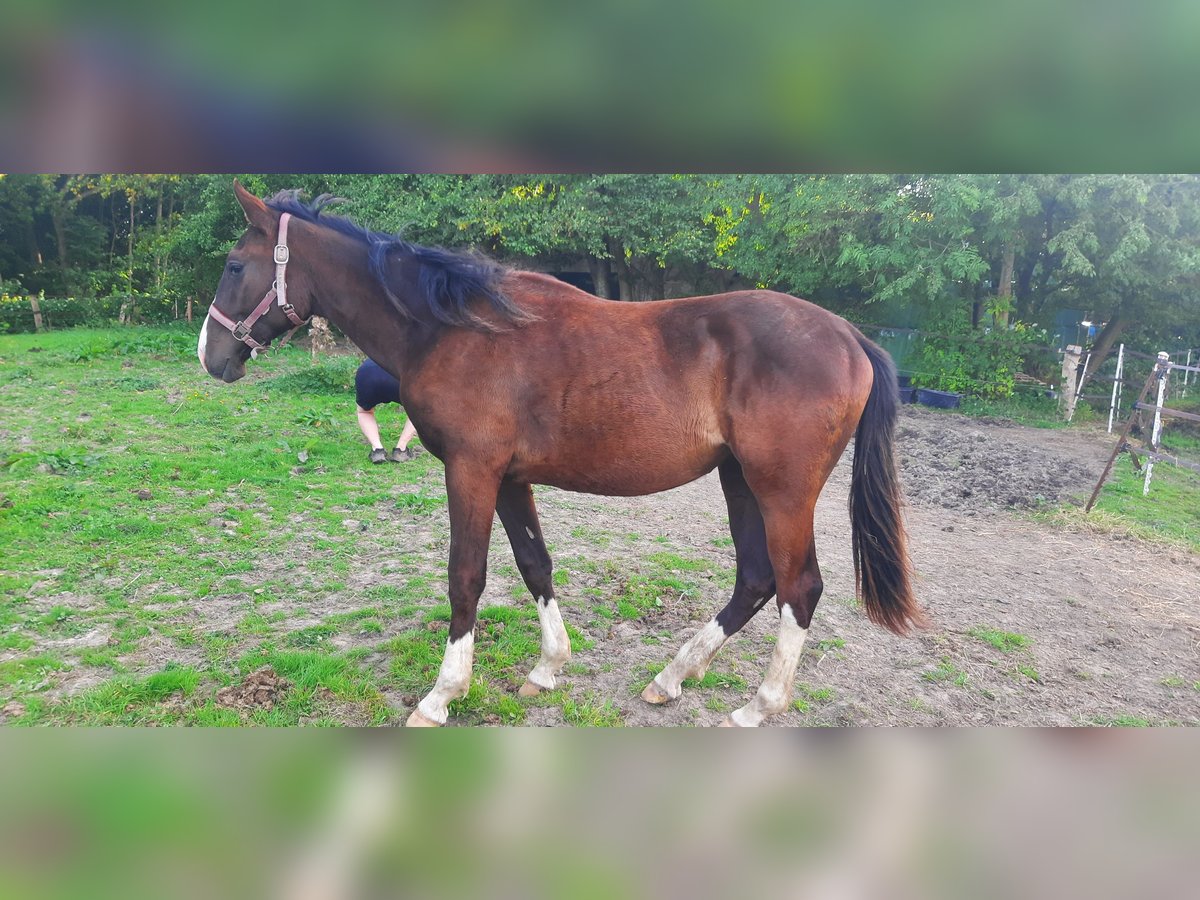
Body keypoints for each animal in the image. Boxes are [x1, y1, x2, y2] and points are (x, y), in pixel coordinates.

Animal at [196, 181, 916, 724]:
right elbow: (534, 565)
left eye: (234, 265)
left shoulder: (472, 471)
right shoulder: (511, 479)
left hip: (780, 489)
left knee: (800, 587)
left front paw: (441, 696)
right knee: (756, 580)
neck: (453, 330)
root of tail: (850, 336)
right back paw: (671, 677)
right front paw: (547, 669)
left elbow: (467, 575)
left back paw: (756, 707)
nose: (211, 354)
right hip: (739, 479)